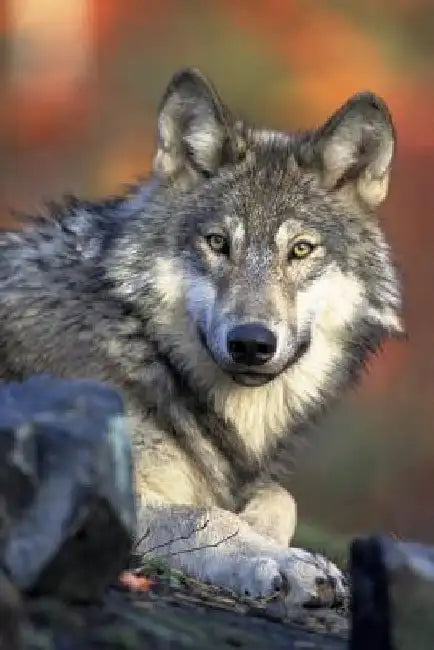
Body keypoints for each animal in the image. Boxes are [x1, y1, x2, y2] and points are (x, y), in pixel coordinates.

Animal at [0, 68, 402, 606]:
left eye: (300, 250)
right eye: (218, 243)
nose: (251, 343)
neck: (144, 347)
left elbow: (280, 497)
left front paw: (266, 533)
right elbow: (206, 517)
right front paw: (280, 561)